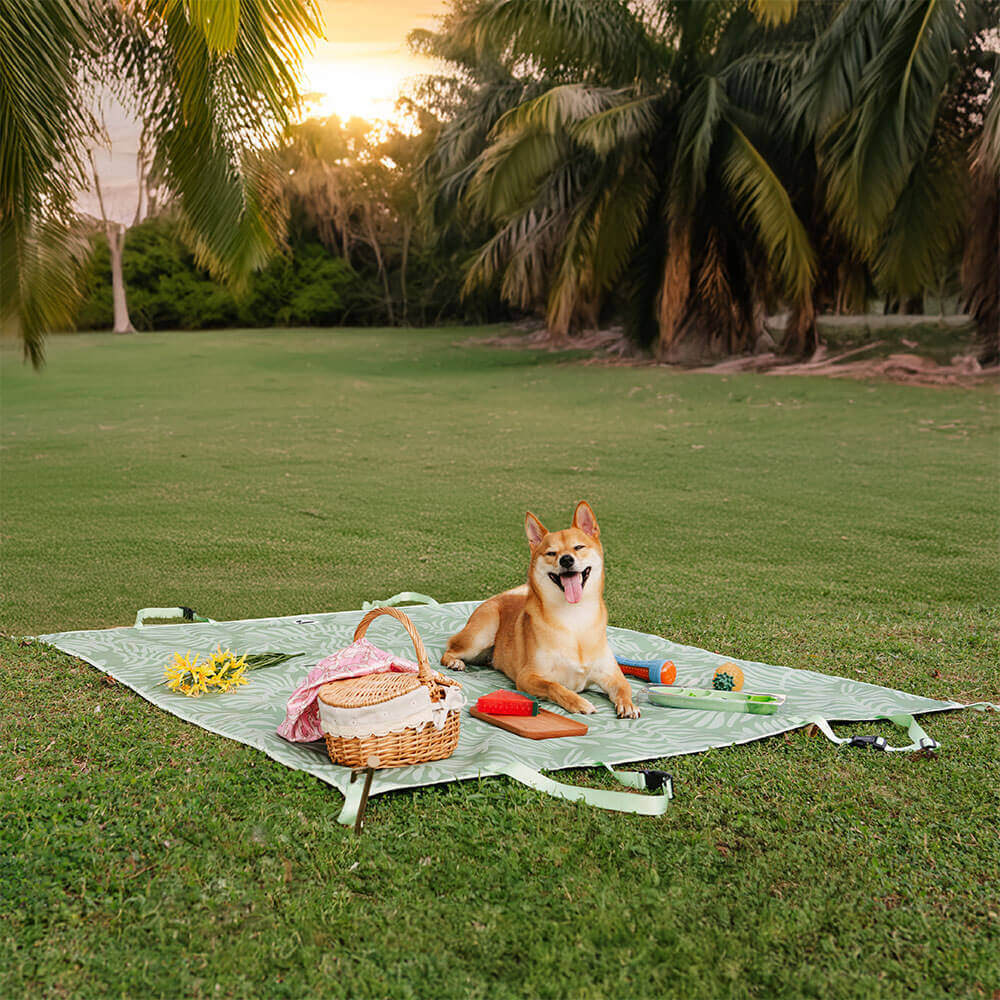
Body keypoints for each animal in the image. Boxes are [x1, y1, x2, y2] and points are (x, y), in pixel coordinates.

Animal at [444, 500, 640, 720]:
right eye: (551, 553)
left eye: (579, 547)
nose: (566, 559)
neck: (575, 619)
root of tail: (496, 597)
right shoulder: (527, 676)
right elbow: (555, 686)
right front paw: (578, 702)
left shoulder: (611, 675)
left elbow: (625, 687)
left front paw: (628, 704)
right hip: (481, 634)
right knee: (450, 648)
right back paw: (454, 662)